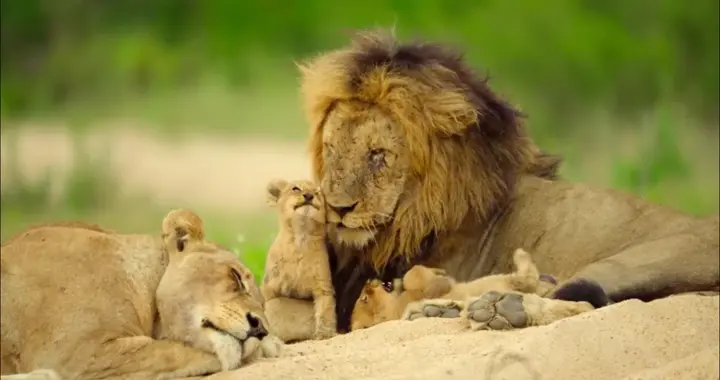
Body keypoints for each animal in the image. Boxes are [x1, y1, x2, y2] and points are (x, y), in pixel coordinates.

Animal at [262, 178, 336, 342]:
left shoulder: (323, 286)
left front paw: (324, 335)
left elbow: (325, 310)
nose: (309, 195)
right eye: (295, 188)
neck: (301, 236)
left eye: (317, 192)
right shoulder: (269, 286)